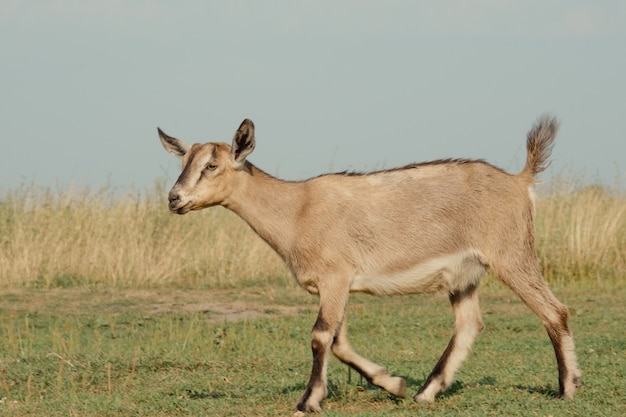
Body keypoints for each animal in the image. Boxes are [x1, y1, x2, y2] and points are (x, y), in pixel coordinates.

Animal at [157, 115, 580, 412]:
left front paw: (307, 401)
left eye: (211, 166)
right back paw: (425, 392)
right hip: (465, 275)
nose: (174, 199)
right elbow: (340, 342)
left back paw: (568, 387)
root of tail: (521, 181)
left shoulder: (334, 276)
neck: (296, 209)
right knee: (469, 323)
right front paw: (393, 383)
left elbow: (320, 336)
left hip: (512, 253)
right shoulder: (338, 284)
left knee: (553, 311)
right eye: (185, 162)